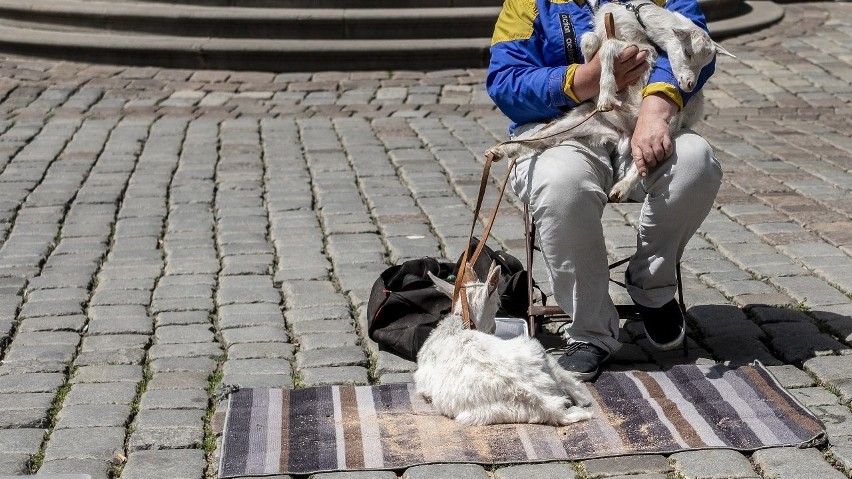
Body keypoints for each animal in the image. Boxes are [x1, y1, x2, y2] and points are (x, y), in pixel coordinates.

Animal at [486, 0, 732, 202]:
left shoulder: (642, 50)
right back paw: (501, 150)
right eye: (688, 53)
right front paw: (593, 71)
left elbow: (609, 47)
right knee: (541, 138)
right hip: (581, 121)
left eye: (706, 64)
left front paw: (605, 93)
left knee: (643, 163)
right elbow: (592, 41)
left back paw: (620, 189)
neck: (636, 20)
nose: (689, 85)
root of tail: (624, 134)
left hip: (664, 125)